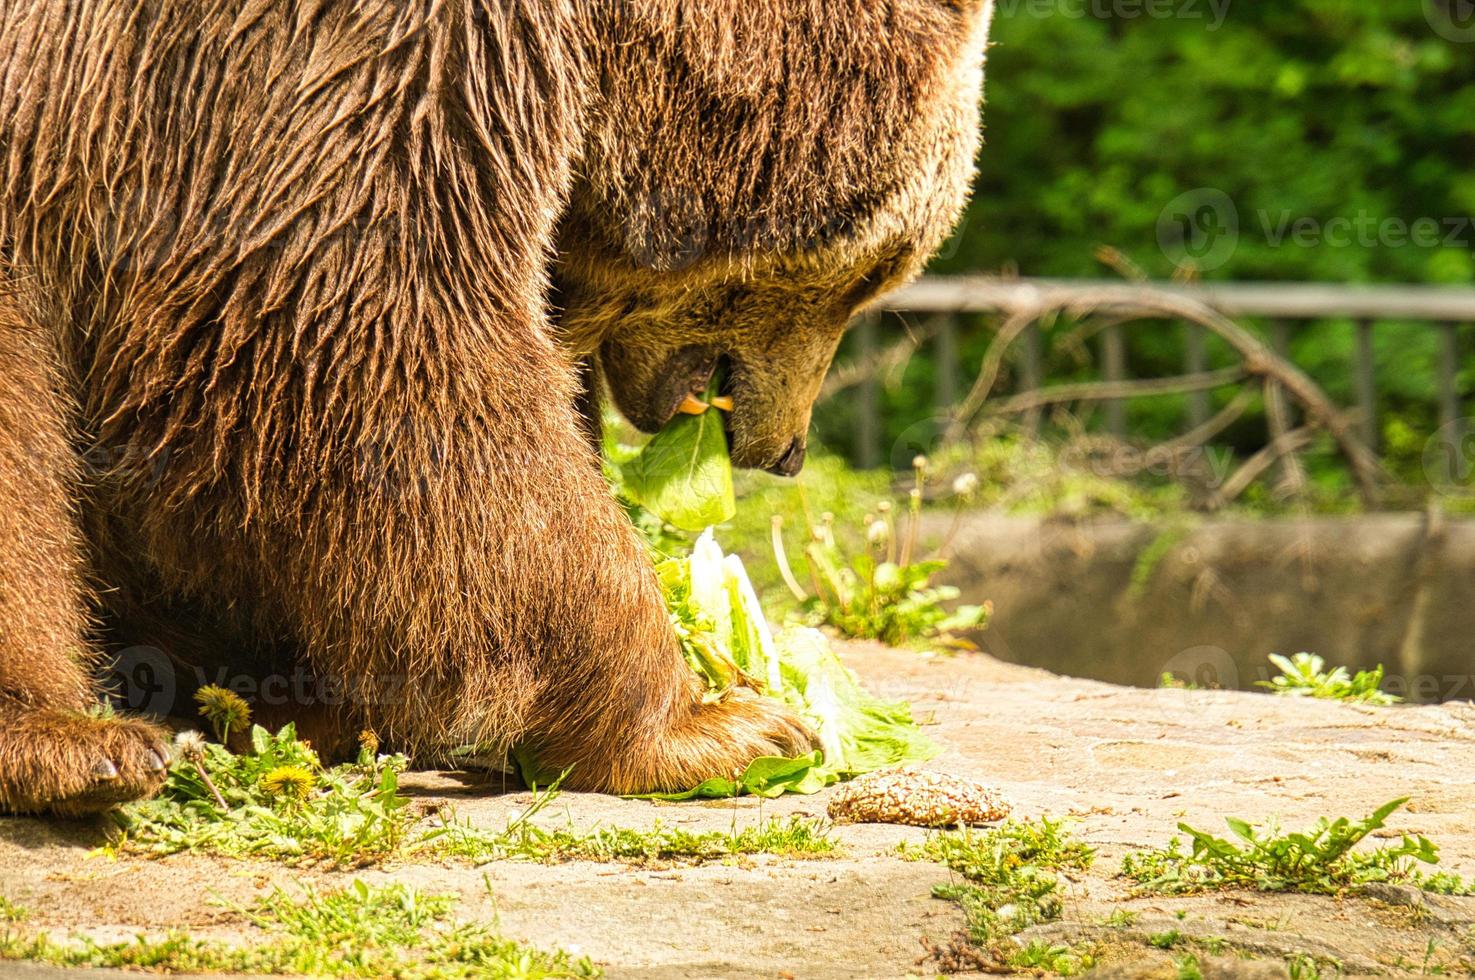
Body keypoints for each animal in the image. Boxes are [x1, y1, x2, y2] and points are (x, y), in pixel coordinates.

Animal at [0, 0, 997, 814]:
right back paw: (76, 744)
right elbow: (369, 338)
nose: (783, 450)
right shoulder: (339, 60)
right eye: (876, 270)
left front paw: (311, 700)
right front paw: (719, 724)